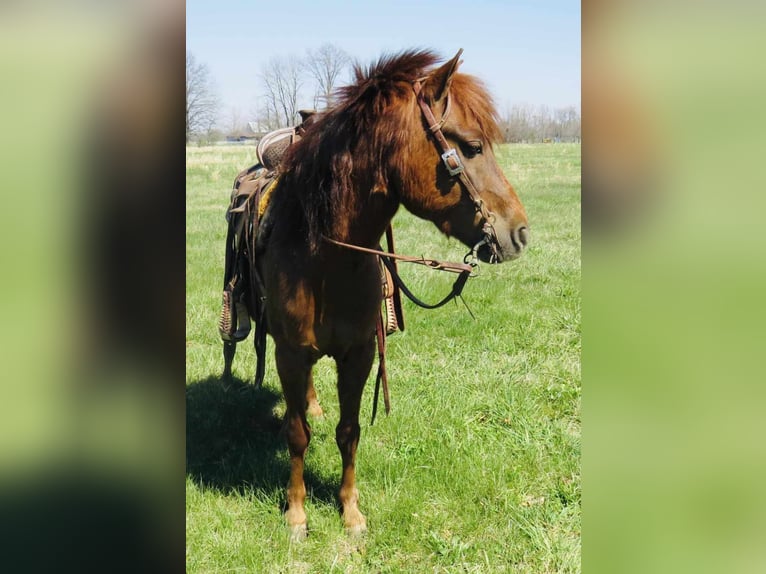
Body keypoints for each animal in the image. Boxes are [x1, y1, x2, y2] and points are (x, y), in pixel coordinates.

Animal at [232, 49, 528, 540]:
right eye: (471, 147)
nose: (519, 233)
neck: (326, 258)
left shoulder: (360, 354)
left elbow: (348, 431)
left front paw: (350, 512)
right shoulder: (291, 353)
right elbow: (296, 435)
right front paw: (297, 513)